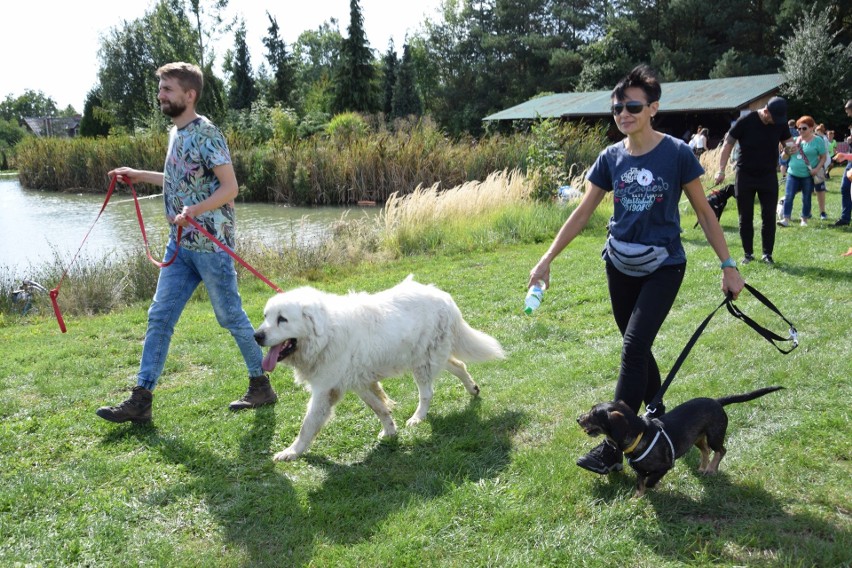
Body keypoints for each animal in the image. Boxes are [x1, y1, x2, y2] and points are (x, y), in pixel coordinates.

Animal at [253, 276, 506, 462]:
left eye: (282, 319)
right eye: (265, 317)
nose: (256, 336)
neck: (324, 335)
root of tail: (444, 296)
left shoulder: (325, 390)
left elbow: (307, 426)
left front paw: (291, 452)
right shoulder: (358, 382)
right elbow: (379, 407)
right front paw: (390, 431)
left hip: (422, 363)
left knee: (427, 393)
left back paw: (418, 418)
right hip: (431, 357)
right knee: (459, 364)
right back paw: (472, 389)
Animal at [580, 386, 784, 496]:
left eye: (593, 414)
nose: (578, 418)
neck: (640, 435)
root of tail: (717, 402)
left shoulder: (665, 466)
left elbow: (650, 481)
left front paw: (654, 488)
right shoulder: (639, 471)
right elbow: (640, 483)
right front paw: (636, 498)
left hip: (715, 434)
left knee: (720, 450)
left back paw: (711, 469)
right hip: (696, 438)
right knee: (706, 450)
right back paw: (702, 467)